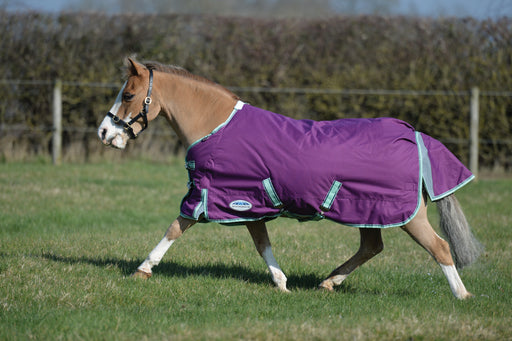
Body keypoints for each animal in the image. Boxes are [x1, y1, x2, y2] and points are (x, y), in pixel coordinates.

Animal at [98, 57, 482, 298]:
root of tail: (413, 136)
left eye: (128, 94)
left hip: (406, 215)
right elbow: (261, 243)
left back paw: (462, 295)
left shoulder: (212, 196)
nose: (104, 132)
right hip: (369, 211)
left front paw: (142, 270)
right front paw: (282, 283)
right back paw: (328, 283)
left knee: (440, 247)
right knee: (372, 247)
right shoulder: (245, 202)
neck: (216, 126)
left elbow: (175, 228)